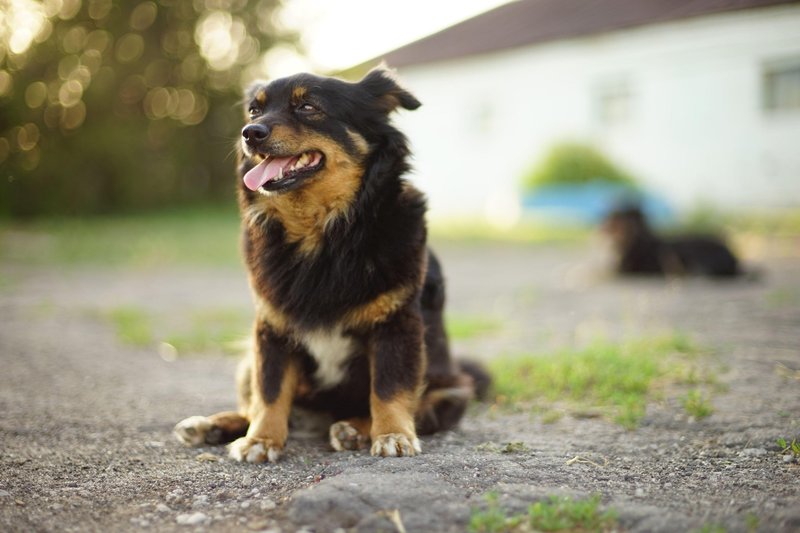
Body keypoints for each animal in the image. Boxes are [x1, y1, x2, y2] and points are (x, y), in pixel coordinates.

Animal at [175, 68, 488, 462]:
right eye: (254, 111)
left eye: (308, 107)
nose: (250, 133)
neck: (324, 235)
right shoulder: (272, 329)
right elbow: (270, 391)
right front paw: (262, 439)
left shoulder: (397, 324)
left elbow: (388, 387)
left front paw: (393, 435)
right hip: (248, 359)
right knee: (257, 404)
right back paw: (212, 425)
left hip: (450, 390)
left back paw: (353, 429)